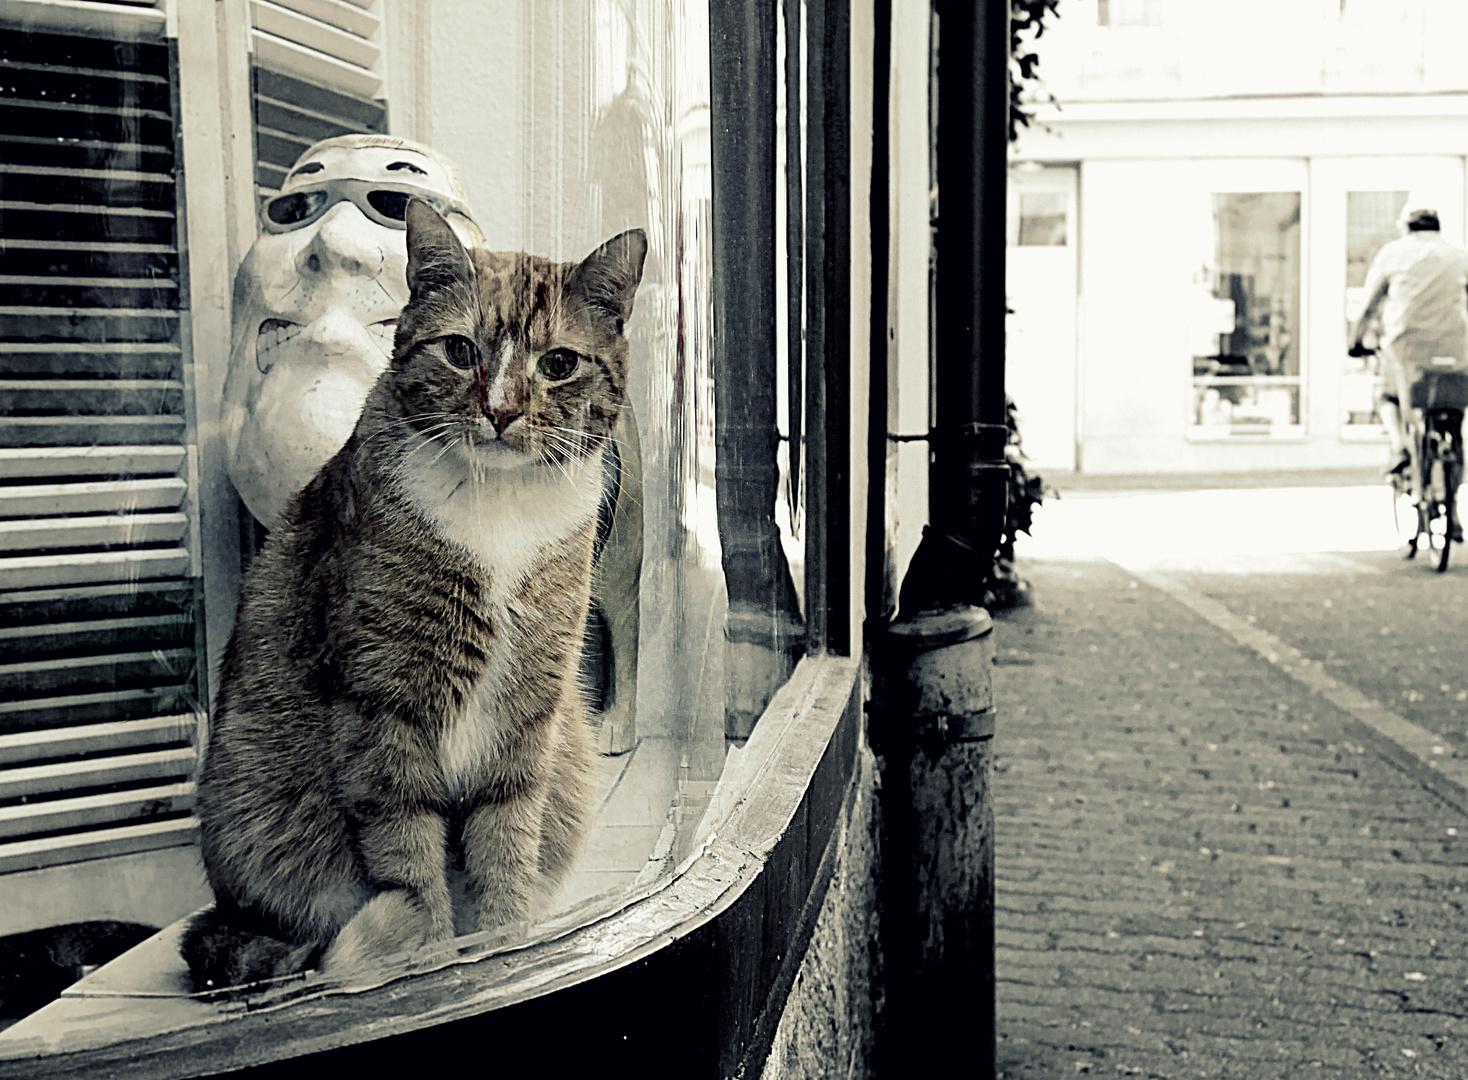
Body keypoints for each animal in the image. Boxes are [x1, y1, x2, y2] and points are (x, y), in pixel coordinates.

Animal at [179, 198, 648, 991]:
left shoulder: (531, 705)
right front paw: (428, 954)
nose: (501, 411)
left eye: (558, 365)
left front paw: (504, 942)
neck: (500, 509)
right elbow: (407, 847)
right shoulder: (384, 702)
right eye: (459, 351)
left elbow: (507, 834)